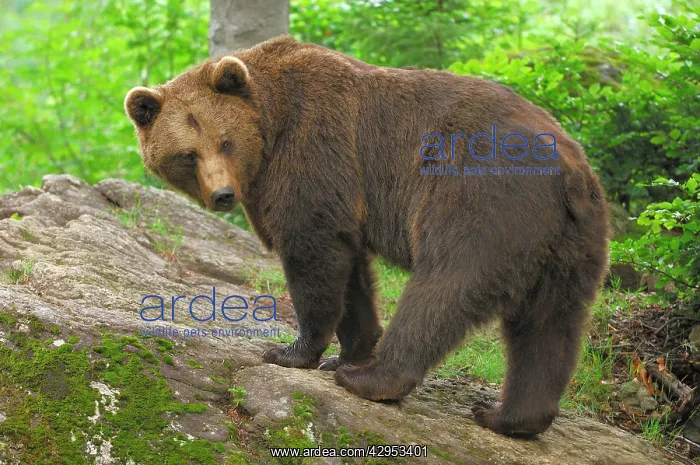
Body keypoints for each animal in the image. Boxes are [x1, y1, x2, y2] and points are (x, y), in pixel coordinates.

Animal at [124, 36, 611, 437]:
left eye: (225, 141)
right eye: (188, 154)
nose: (224, 194)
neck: (270, 124)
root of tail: (569, 169)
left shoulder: (314, 150)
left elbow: (312, 252)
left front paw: (293, 352)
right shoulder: (345, 198)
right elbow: (351, 271)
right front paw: (347, 350)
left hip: (482, 198)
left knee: (445, 285)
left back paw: (373, 380)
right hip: (571, 239)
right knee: (549, 325)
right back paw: (506, 416)